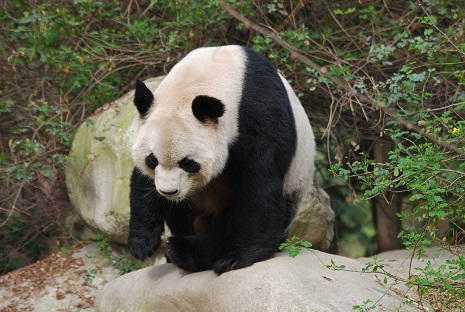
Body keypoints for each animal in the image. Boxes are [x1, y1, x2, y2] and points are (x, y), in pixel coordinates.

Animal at [129, 45, 314, 274]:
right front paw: (142, 243)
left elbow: (259, 187)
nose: (168, 192)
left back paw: (186, 252)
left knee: (226, 228)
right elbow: (142, 182)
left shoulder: (261, 116)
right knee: (183, 215)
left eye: (188, 163)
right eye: (152, 160)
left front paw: (241, 256)